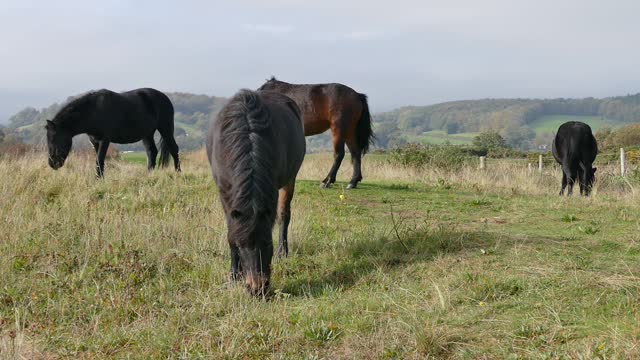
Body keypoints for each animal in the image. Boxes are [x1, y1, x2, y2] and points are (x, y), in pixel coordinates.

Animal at [45, 87, 180, 177]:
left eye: (55, 139)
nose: (52, 163)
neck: (94, 111)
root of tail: (165, 98)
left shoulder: (105, 139)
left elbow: (99, 159)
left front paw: (99, 179)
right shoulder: (95, 141)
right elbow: (99, 160)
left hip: (166, 129)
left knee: (174, 149)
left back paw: (178, 173)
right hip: (147, 134)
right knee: (151, 152)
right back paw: (149, 174)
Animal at [205, 89, 304, 296]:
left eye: (267, 243)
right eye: (242, 245)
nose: (257, 289)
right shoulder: (224, 194)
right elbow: (231, 232)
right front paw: (234, 275)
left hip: (290, 180)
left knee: (284, 215)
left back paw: (284, 251)